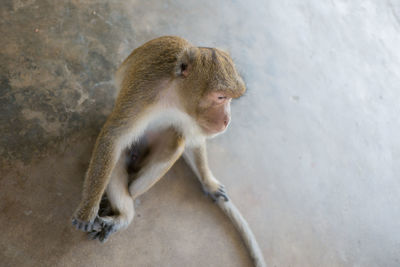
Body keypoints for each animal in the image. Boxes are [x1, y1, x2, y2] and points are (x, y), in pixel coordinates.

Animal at [72, 36, 266, 267]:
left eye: (230, 99)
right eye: (220, 97)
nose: (227, 120)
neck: (176, 95)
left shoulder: (193, 119)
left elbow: (195, 140)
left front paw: (208, 182)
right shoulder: (144, 90)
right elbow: (113, 138)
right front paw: (87, 211)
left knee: (176, 142)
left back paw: (125, 210)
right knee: (116, 156)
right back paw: (124, 212)